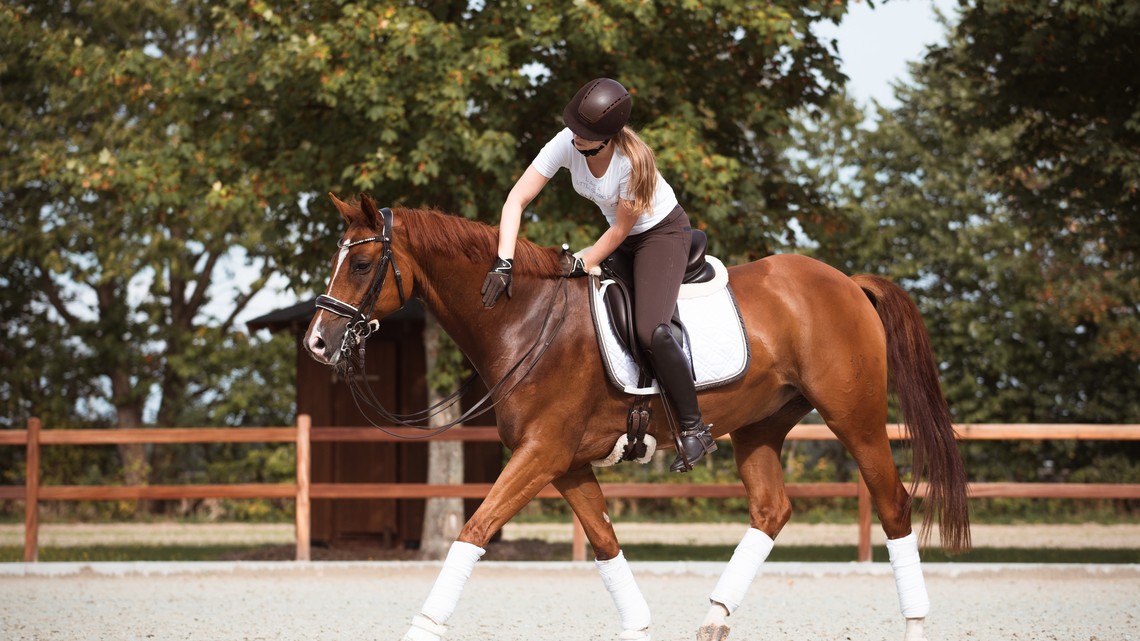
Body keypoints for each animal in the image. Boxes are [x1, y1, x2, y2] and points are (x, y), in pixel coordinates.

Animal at [305, 193, 971, 638]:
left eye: (360, 266)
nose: (316, 342)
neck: (524, 318)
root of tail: (847, 283)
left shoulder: (540, 454)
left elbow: (474, 530)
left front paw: (423, 624)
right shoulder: (566, 463)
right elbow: (603, 543)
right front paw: (639, 621)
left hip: (855, 419)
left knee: (893, 504)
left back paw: (914, 623)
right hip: (759, 427)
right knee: (771, 510)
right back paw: (715, 617)